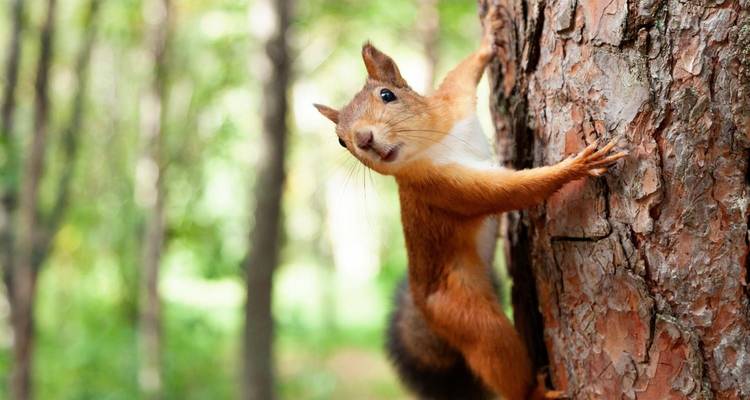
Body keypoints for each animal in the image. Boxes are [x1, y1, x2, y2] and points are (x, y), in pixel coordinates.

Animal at [314, 6, 627, 400]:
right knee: (496, 352)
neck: (433, 141)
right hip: (464, 313)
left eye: (387, 95)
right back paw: (535, 391)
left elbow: (461, 74)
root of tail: (424, 309)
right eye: (341, 141)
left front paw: (490, 35)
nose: (363, 139)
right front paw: (577, 166)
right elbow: (509, 192)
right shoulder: (444, 188)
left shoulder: (454, 103)